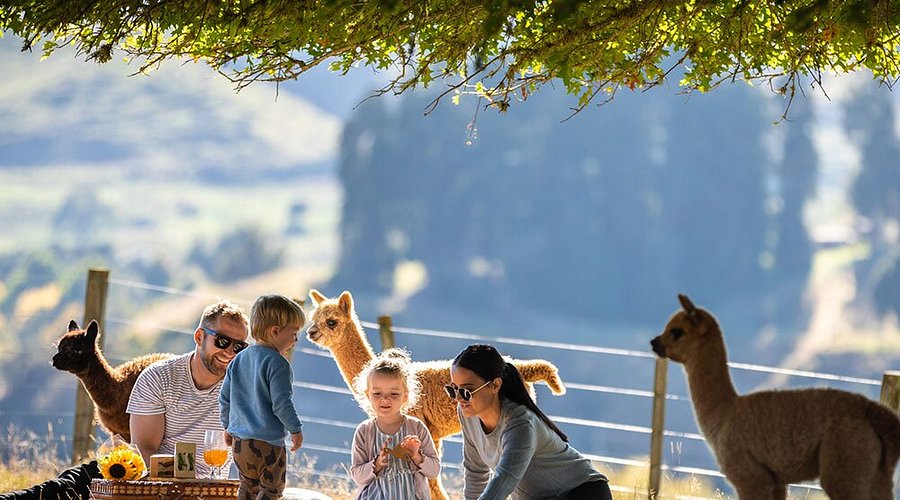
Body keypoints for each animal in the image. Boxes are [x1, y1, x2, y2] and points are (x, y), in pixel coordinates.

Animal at [306, 289, 566, 500]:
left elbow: (431, 481)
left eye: (331, 321)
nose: (311, 332)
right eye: (312, 317)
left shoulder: (423, 428)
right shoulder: (434, 434)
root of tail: (517, 366)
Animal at [651, 294, 900, 499]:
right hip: (878, 472)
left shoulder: (750, 477)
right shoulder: (777, 480)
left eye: (676, 331)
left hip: (845, 460)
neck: (724, 413)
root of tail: (875, 413)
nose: (654, 343)